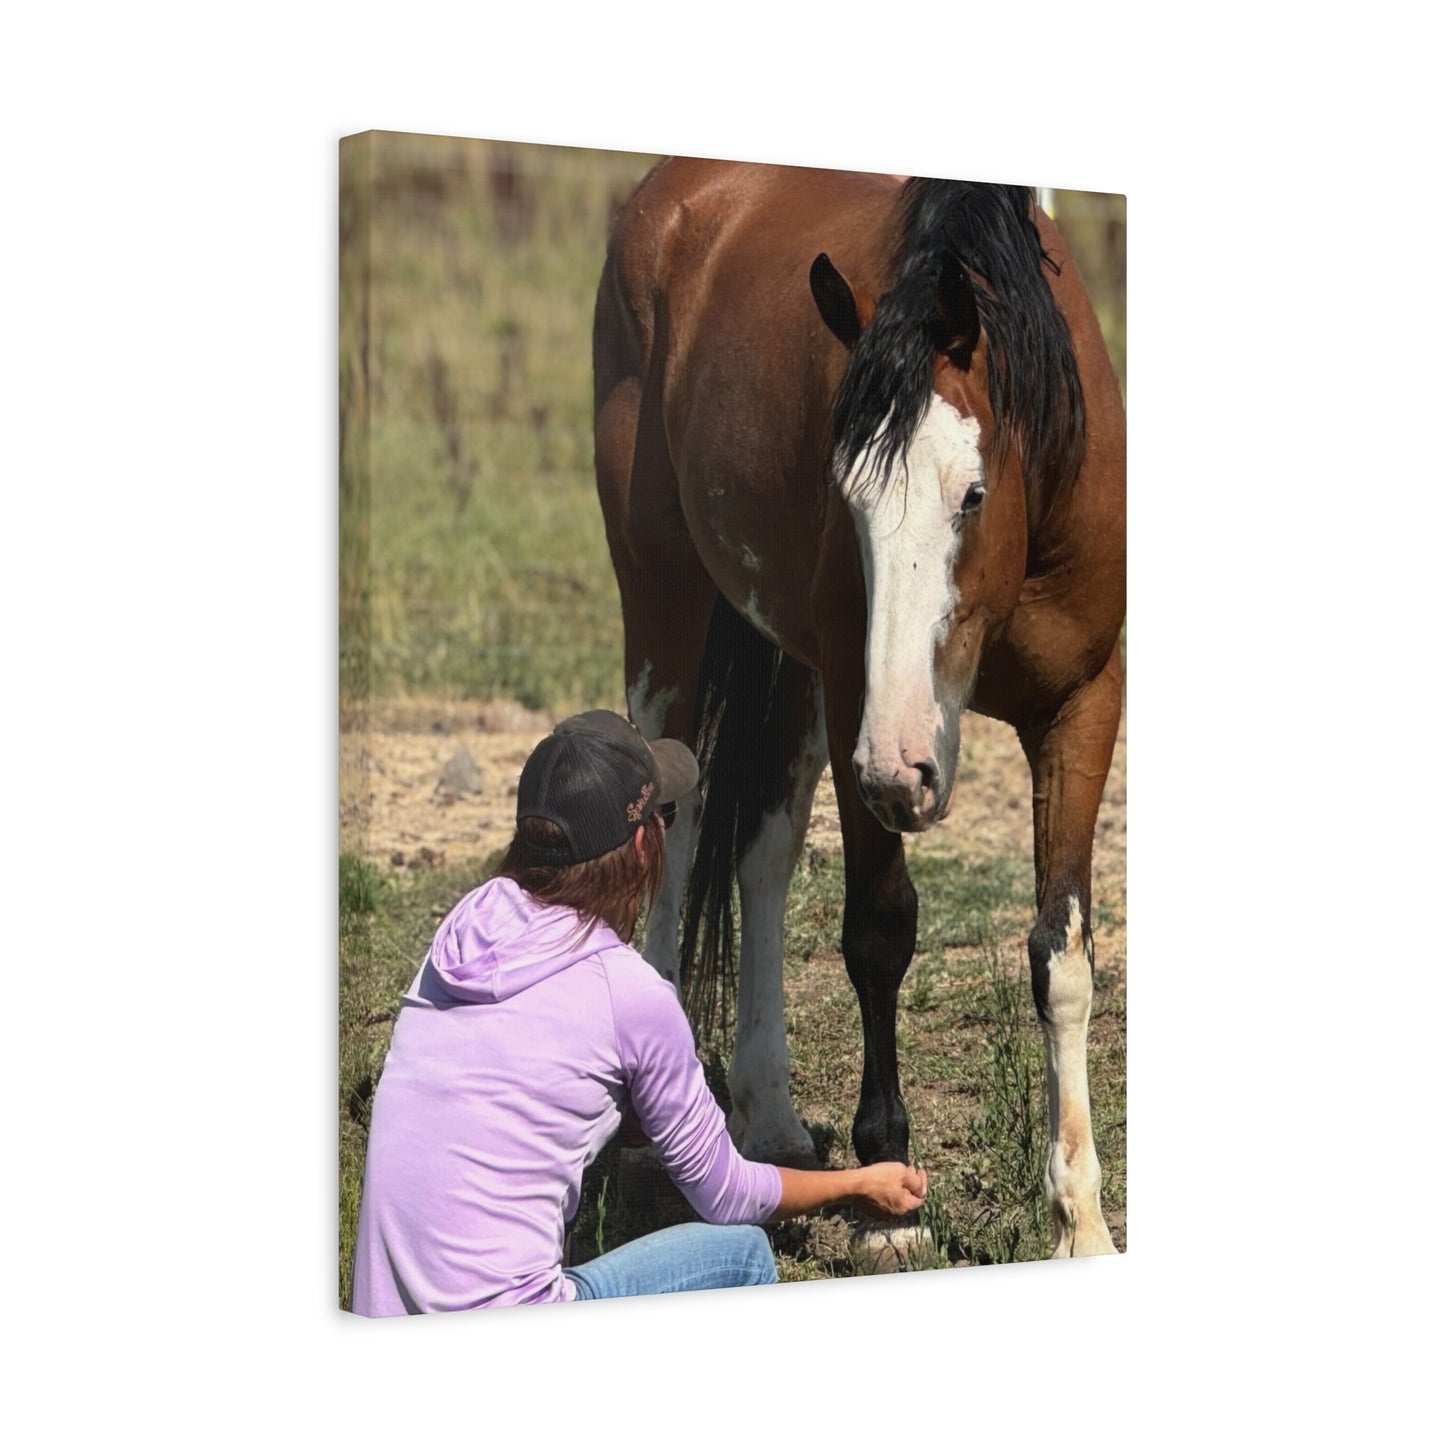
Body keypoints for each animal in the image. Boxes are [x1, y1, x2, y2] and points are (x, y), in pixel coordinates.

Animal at [592, 159, 1125, 1257]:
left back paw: (769, 1117)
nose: (902, 766)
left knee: (762, 850)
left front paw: (1080, 1219)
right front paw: (892, 1205)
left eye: (971, 493)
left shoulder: (1083, 705)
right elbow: (878, 930)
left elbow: (1060, 954)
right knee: (674, 823)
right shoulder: (855, 702)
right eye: (846, 494)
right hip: (665, 599)